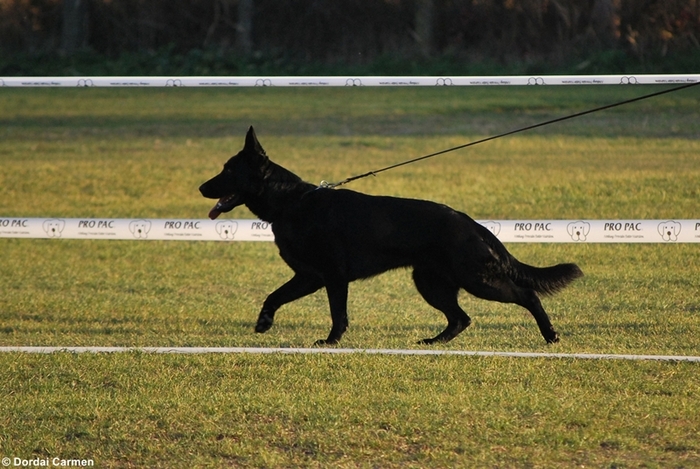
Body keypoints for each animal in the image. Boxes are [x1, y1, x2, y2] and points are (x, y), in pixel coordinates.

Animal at [200, 126, 584, 346]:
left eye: (228, 170)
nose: (201, 187)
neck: (292, 202)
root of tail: (472, 224)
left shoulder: (331, 278)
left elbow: (338, 314)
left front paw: (331, 342)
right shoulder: (309, 277)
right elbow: (273, 296)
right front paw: (264, 323)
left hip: (477, 280)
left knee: (526, 294)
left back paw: (550, 335)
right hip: (431, 284)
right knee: (461, 318)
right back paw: (434, 342)